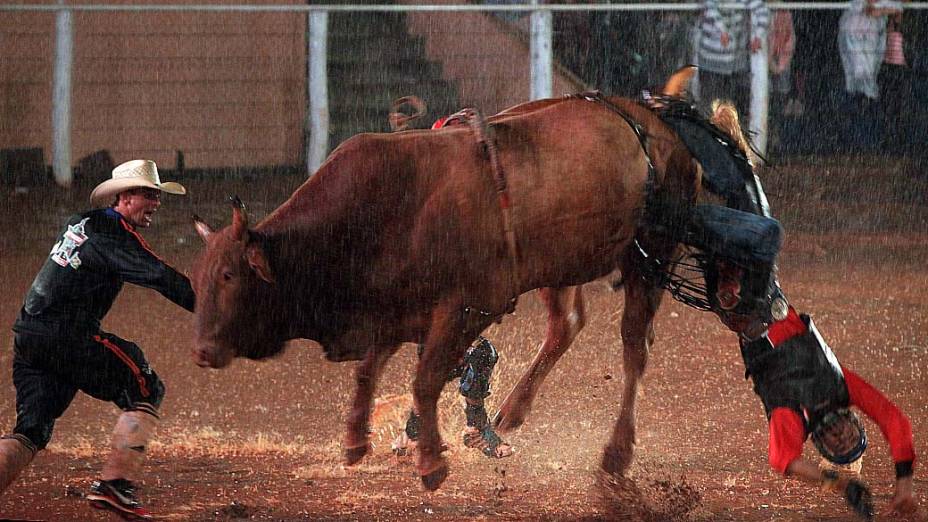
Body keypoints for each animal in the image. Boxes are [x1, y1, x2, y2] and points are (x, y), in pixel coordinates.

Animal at [188, 88, 696, 488]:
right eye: (198, 278)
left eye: (231, 276)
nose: (202, 351)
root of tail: (655, 121)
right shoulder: (394, 310)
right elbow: (372, 371)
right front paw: (357, 441)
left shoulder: (468, 308)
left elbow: (426, 379)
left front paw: (430, 461)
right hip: (561, 268)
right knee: (567, 324)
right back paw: (510, 413)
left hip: (650, 259)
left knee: (633, 347)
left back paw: (616, 452)